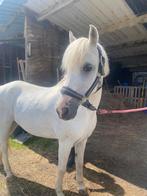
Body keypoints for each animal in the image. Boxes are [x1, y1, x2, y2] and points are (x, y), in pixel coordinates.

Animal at [0, 25, 109, 195]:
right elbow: (61, 168)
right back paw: (10, 174)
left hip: (12, 124)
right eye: (66, 69)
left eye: (88, 67)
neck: (84, 113)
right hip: (5, 125)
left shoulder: (82, 141)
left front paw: (81, 187)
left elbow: (79, 164)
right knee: (4, 147)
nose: (62, 111)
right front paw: (59, 191)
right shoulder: (64, 143)